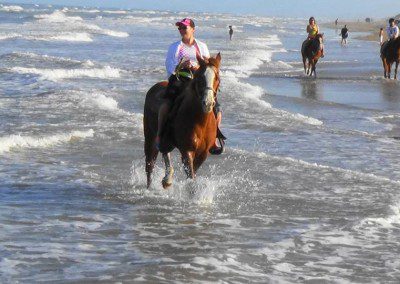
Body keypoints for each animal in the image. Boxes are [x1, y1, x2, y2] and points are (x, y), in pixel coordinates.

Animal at [143, 52, 222, 189]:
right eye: (200, 78)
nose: (207, 103)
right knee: (150, 165)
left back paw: (167, 178)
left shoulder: (203, 154)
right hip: (150, 136)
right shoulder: (187, 150)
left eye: (217, 77)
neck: (200, 122)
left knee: (165, 152)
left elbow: (193, 174)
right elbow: (191, 178)